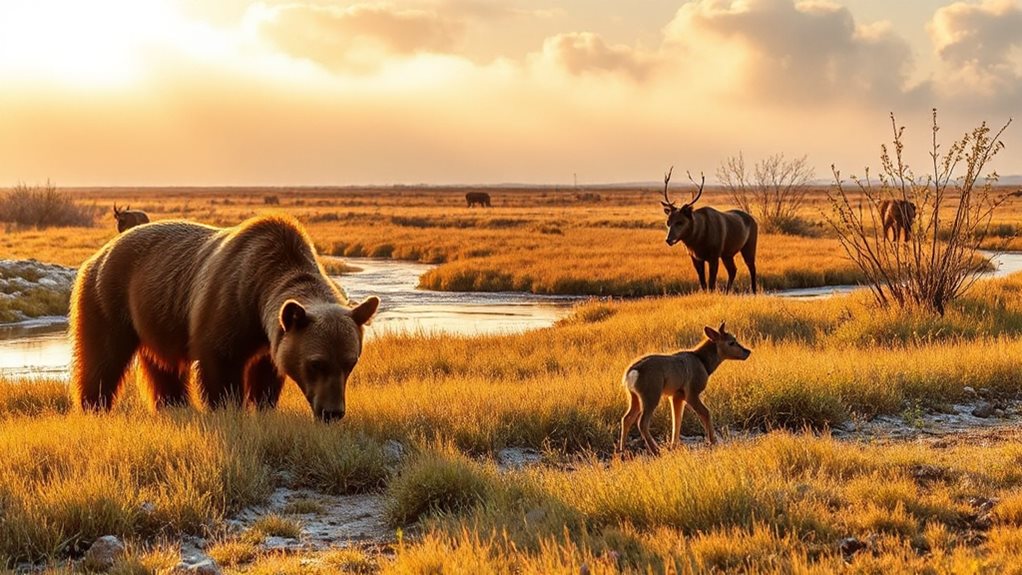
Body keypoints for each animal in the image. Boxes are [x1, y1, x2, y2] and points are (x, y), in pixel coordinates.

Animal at [69, 214, 379, 421]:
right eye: (317, 363)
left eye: (350, 362)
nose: (332, 412)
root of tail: (101, 251)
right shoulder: (228, 303)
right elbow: (220, 362)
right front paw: (229, 409)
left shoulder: (271, 338)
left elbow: (267, 374)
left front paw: (263, 407)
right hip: (108, 296)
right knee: (102, 356)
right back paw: (93, 406)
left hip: (154, 311)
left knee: (163, 366)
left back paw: (174, 404)